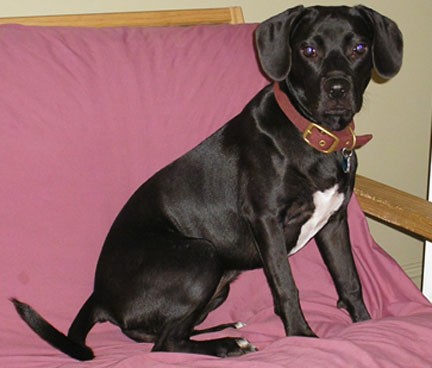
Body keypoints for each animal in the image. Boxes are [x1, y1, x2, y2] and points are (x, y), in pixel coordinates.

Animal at [11, 5, 404, 360]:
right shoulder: (265, 220)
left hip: (217, 283)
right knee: (165, 343)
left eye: (359, 48)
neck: (315, 136)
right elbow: (286, 285)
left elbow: (349, 279)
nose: (338, 88)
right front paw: (302, 337)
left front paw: (365, 324)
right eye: (309, 50)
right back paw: (228, 345)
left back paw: (226, 330)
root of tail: (100, 296)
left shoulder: (334, 222)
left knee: (159, 332)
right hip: (202, 255)